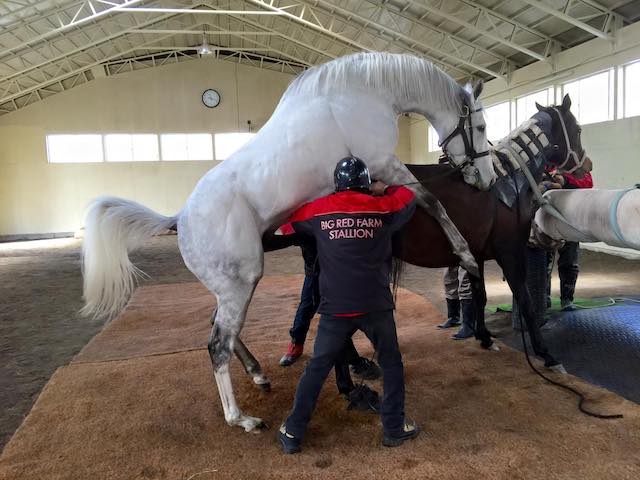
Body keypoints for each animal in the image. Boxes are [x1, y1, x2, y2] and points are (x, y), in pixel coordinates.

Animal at [82, 51, 498, 432]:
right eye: (479, 125)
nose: (487, 178)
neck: (364, 94)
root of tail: (180, 219)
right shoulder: (385, 164)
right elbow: (432, 200)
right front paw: (466, 256)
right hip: (242, 281)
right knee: (217, 344)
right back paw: (241, 418)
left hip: (234, 287)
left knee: (222, 329)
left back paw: (258, 374)